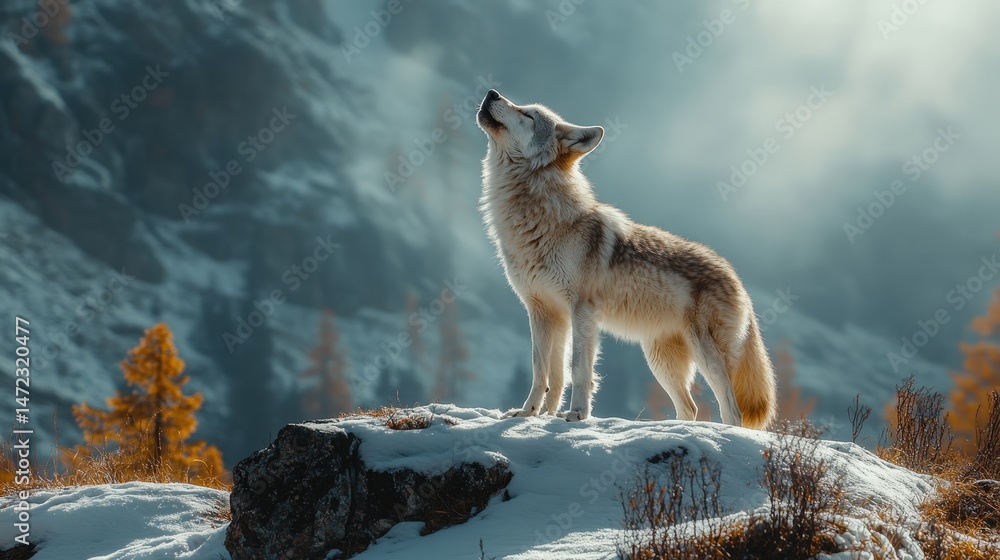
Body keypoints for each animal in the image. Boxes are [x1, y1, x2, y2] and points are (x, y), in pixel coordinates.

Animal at [476, 89, 777, 429]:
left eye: (527, 115)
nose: (491, 93)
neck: (543, 221)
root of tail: (733, 274)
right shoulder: (543, 311)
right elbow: (545, 372)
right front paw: (532, 414)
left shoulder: (582, 311)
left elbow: (578, 369)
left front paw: (576, 414)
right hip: (661, 361)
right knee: (690, 408)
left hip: (704, 355)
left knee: (731, 409)